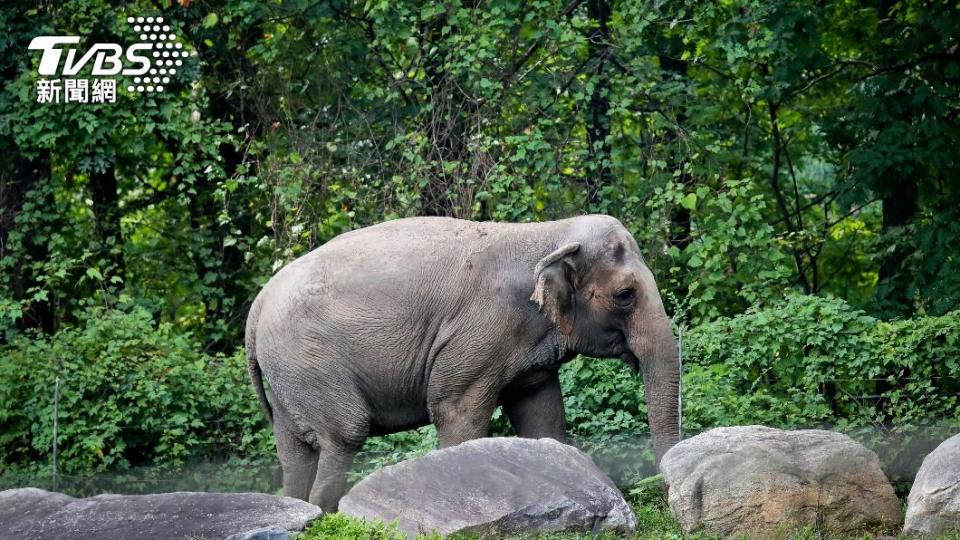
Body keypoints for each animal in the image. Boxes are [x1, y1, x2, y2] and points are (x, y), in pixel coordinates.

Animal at [248, 214, 684, 510]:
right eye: (625, 295)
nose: (664, 496)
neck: (545, 233)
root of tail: (258, 305)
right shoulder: (478, 334)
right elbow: (457, 414)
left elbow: (541, 414)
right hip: (310, 359)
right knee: (344, 435)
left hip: (289, 375)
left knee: (294, 452)